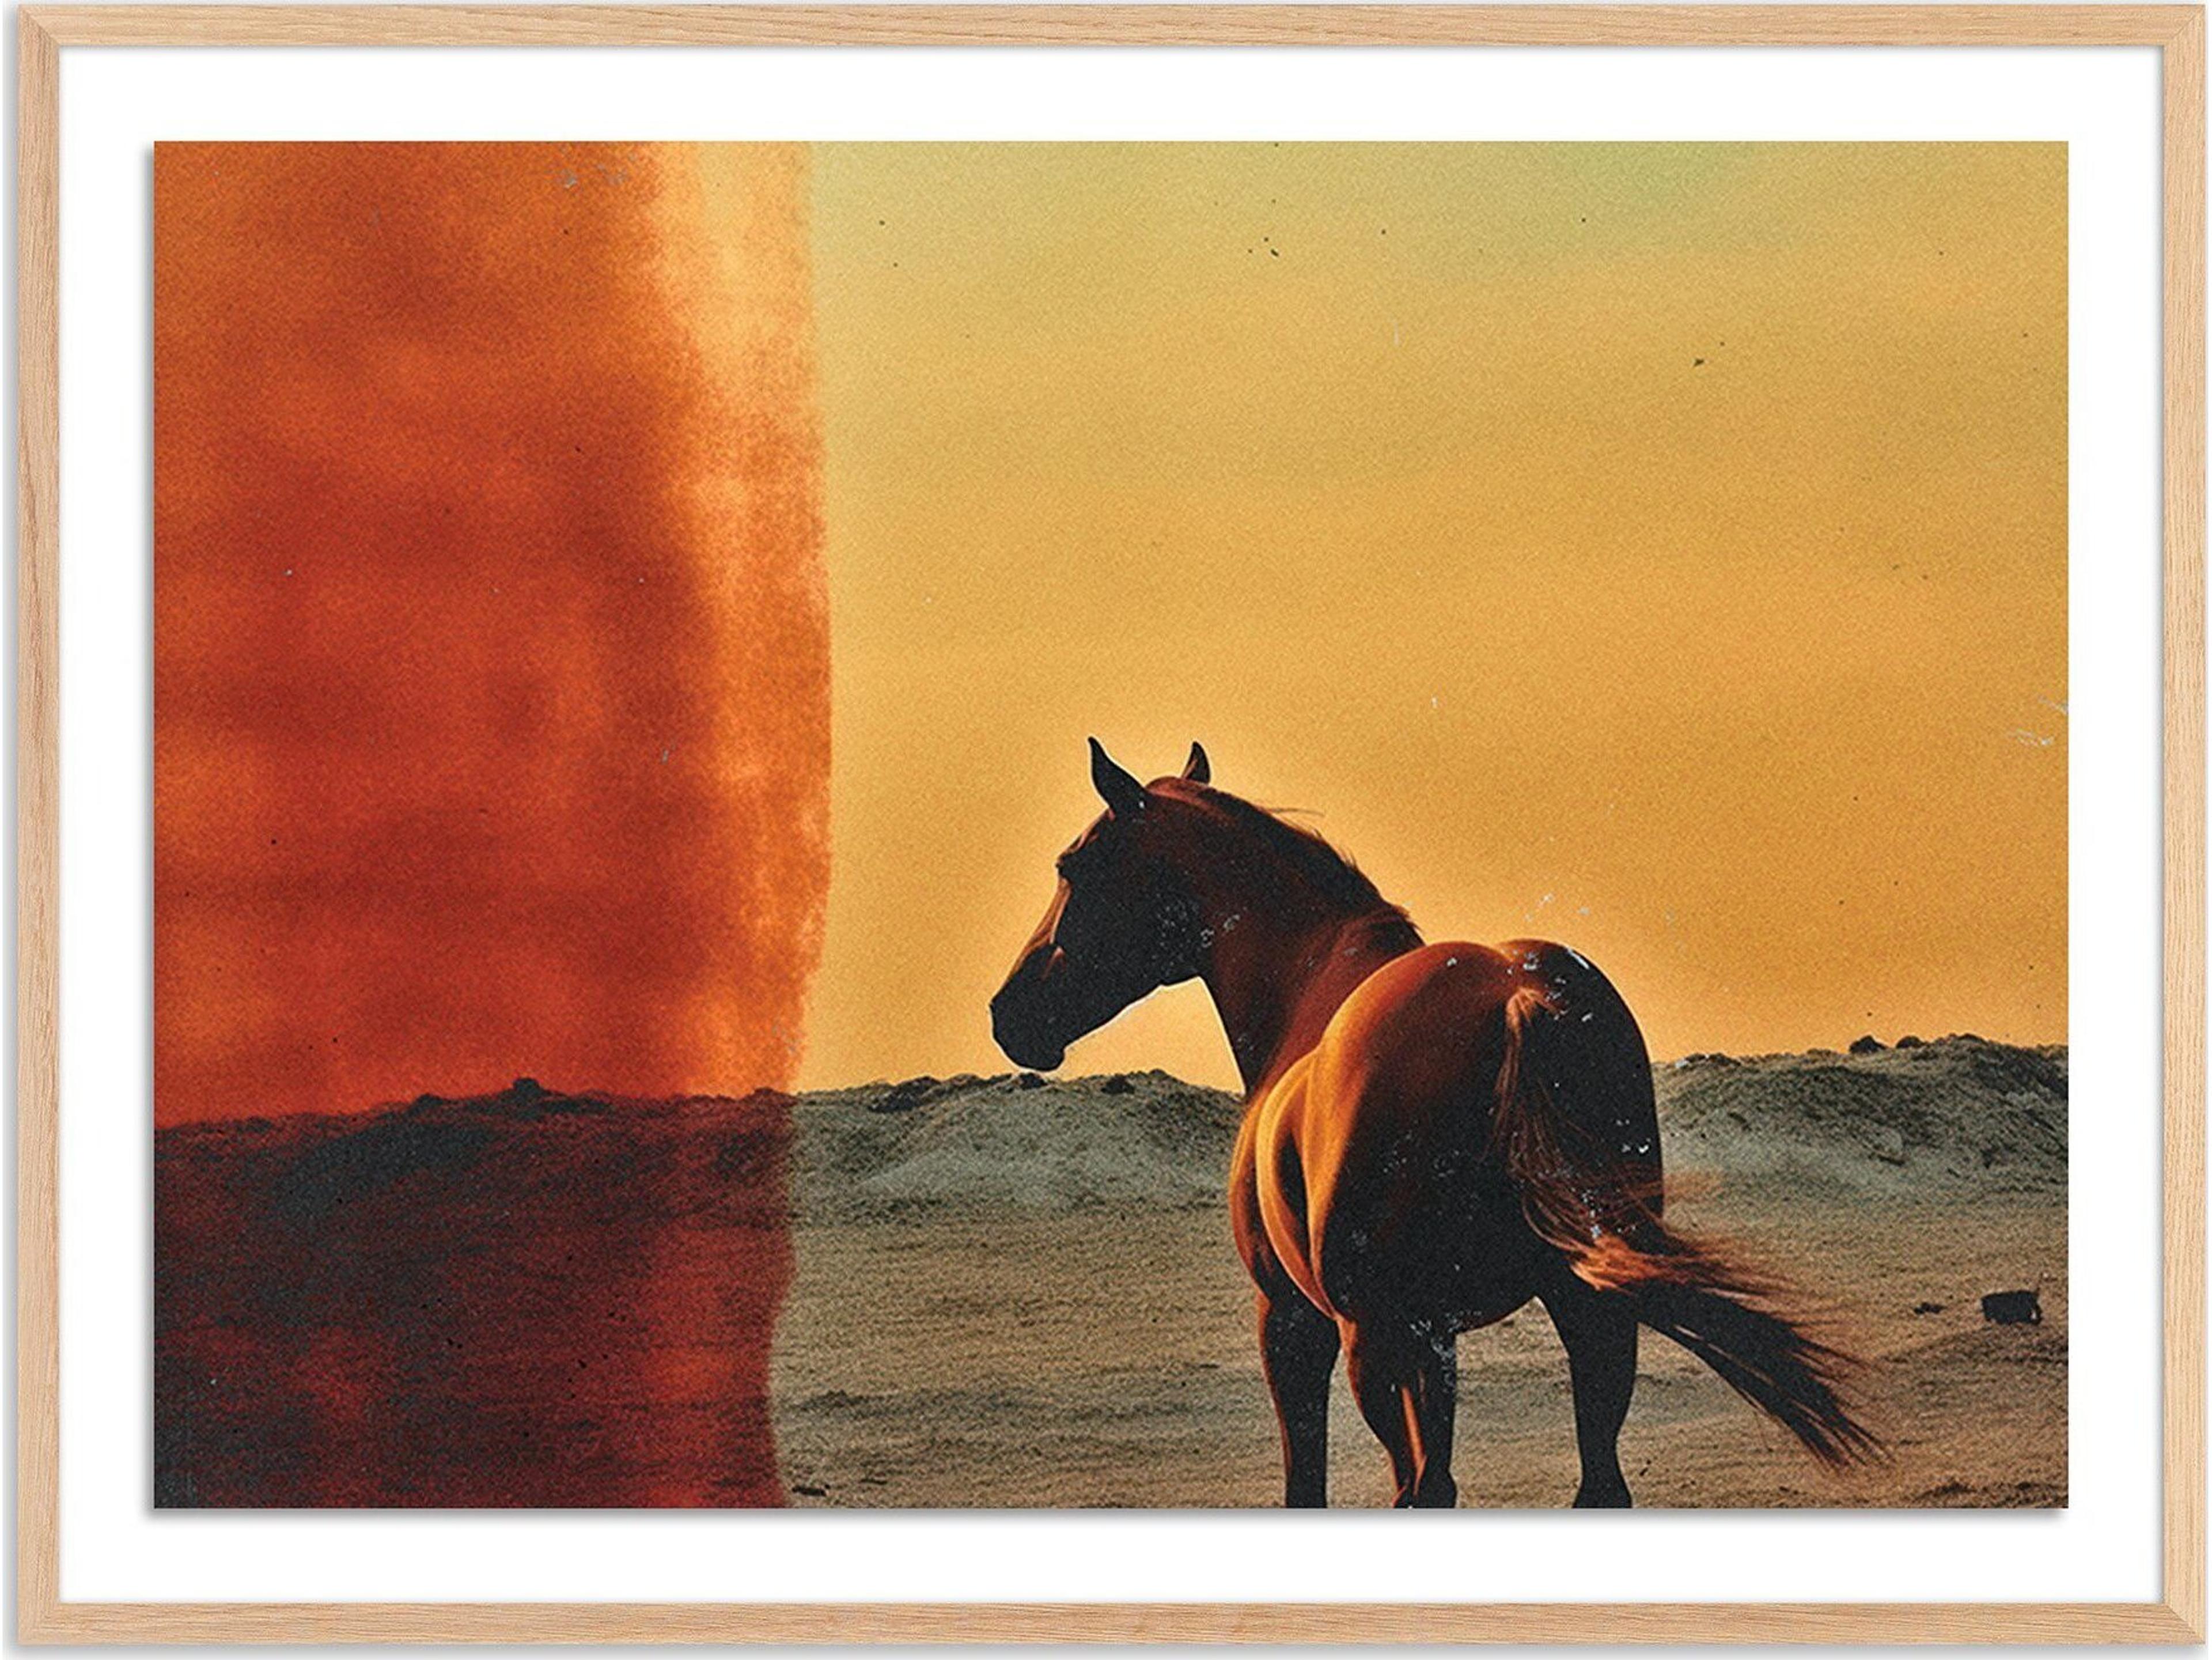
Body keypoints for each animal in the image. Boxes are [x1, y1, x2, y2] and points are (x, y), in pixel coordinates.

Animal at [990, 739, 1875, 1508]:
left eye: (1074, 866)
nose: (1009, 1013)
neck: (1308, 989)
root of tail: (1520, 998)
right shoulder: (1438, 1335)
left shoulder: (1298, 1323)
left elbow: (1311, 1487)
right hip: (1588, 1313)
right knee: (1596, 1484)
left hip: (1380, 1342)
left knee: (1425, 1490)